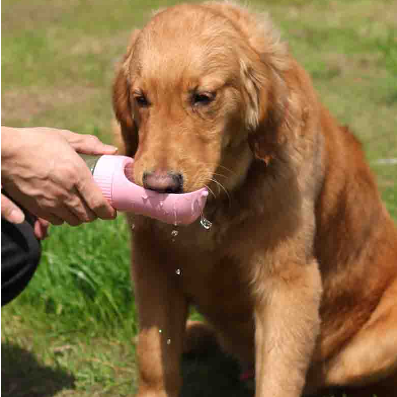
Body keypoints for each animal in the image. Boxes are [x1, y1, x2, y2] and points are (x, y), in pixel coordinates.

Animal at [111, 1, 396, 394]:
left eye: (203, 97)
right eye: (141, 100)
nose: (159, 186)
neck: (218, 202)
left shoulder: (289, 281)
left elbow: (279, 375)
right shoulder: (152, 263)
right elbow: (154, 360)